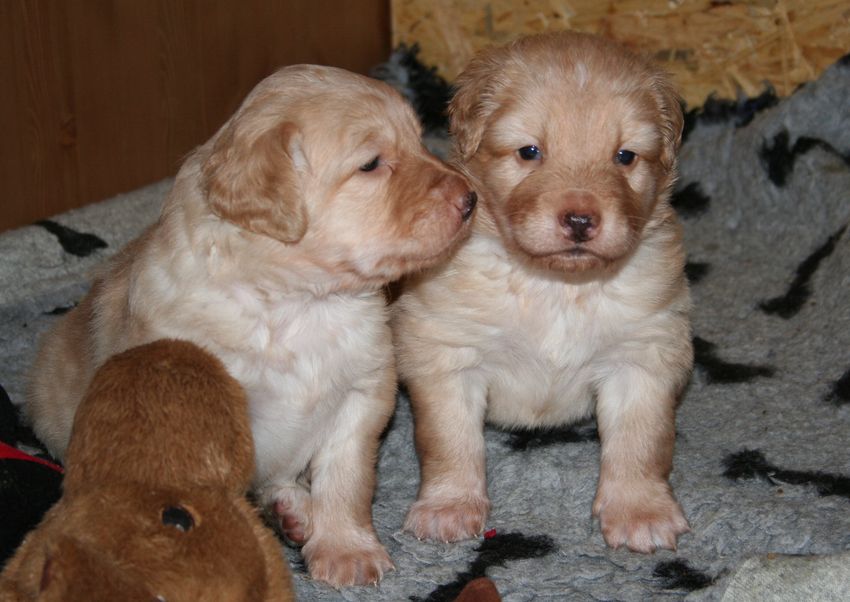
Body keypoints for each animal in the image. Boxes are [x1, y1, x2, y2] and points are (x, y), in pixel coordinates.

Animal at [26, 65, 477, 586]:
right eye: (371, 164)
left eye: (420, 140)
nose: (472, 199)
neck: (299, 303)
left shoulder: (363, 392)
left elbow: (347, 479)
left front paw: (347, 548)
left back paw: (295, 511)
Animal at [391, 32, 692, 553]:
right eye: (529, 151)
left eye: (625, 156)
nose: (580, 220)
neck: (555, 285)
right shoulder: (448, 354)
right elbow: (450, 441)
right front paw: (448, 507)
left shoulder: (642, 356)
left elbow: (641, 441)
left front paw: (640, 512)